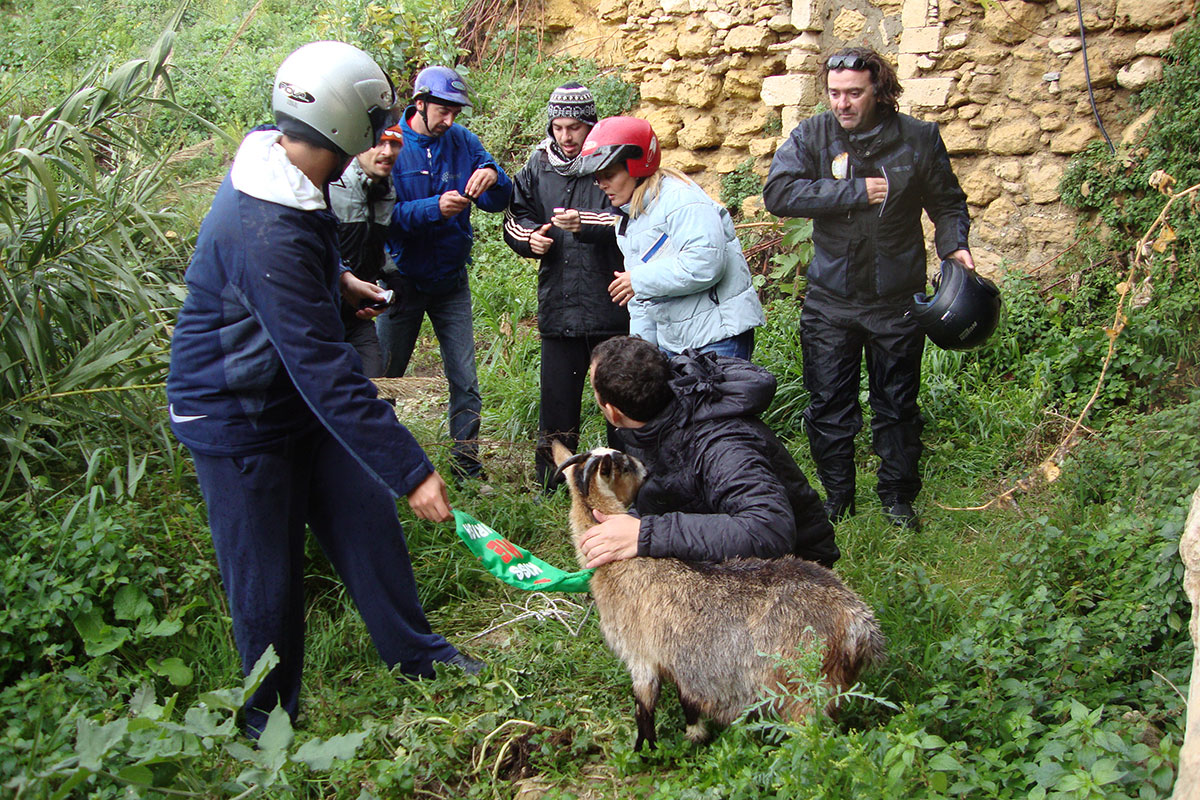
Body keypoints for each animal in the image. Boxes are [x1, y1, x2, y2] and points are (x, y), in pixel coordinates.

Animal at [552, 441, 885, 750]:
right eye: (625, 464)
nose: (646, 469)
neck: (624, 564)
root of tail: (858, 622)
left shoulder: (641, 657)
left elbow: (644, 710)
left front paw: (645, 753)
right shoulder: (674, 660)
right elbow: (684, 701)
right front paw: (695, 735)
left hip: (803, 685)